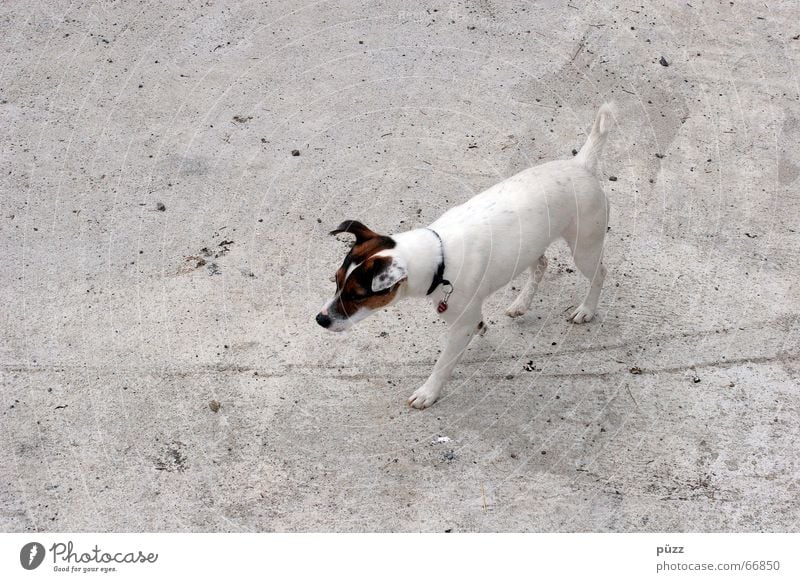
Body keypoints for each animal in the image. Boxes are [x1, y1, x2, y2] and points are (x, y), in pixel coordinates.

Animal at [316, 104, 616, 410]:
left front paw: (428, 392)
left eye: (357, 296)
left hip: (584, 247)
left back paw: (586, 309)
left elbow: (443, 363)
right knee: (541, 264)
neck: (439, 258)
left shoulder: (460, 326)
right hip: (532, 244)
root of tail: (580, 164)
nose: (320, 320)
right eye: (336, 281)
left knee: (599, 274)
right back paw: (521, 304)